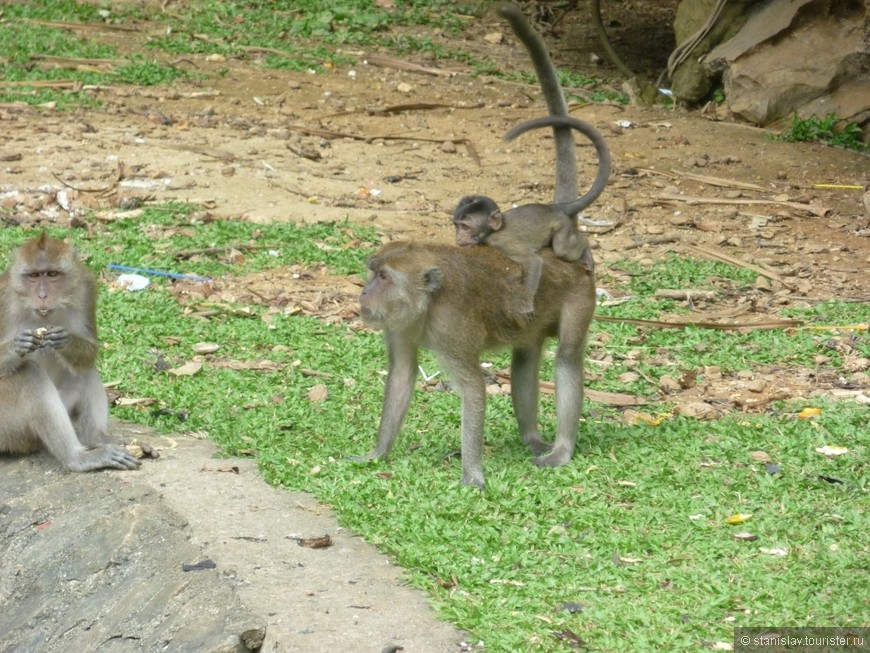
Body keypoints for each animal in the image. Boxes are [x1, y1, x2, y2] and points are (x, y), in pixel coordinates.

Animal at [0, 232, 141, 472]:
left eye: (52, 274)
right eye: (34, 276)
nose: (43, 295)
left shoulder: (86, 287)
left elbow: (89, 352)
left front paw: (66, 341)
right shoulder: (3, 297)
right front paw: (19, 344)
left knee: (85, 371)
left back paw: (97, 438)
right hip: (8, 426)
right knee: (30, 374)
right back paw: (77, 459)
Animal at [358, 239, 596, 484]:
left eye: (384, 277)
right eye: (374, 272)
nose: (364, 291)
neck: (428, 304)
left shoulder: (452, 327)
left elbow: (472, 387)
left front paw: (472, 476)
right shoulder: (398, 323)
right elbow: (401, 374)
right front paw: (377, 454)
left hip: (579, 295)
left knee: (567, 357)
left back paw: (562, 450)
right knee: (525, 359)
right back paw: (531, 439)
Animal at [454, 113, 608, 310]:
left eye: (466, 227)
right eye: (457, 226)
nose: (459, 237)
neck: (492, 230)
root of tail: (555, 207)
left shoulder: (501, 242)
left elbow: (534, 262)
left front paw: (526, 304)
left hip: (562, 226)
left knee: (562, 248)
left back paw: (586, 247)